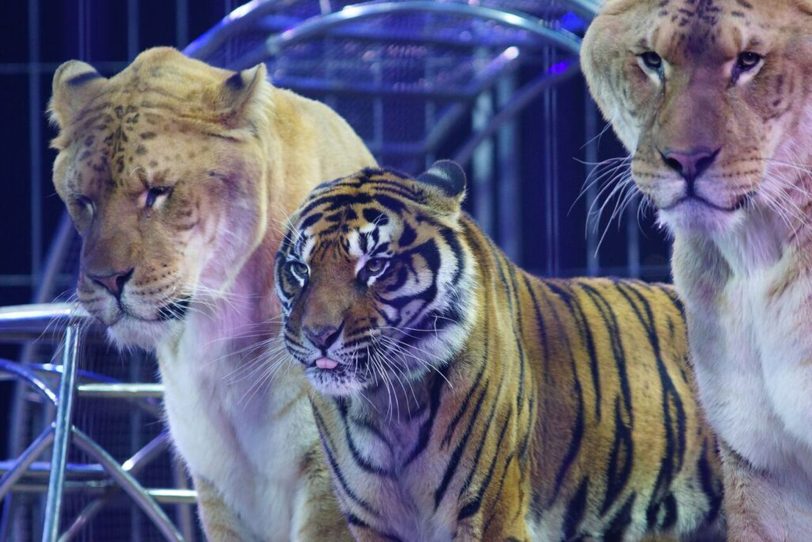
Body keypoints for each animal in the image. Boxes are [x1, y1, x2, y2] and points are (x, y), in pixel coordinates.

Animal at [274, 162, 724, 542]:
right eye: (300, 269)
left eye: (374, 266)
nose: (318, 335)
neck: (386, 404)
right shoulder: (373, 523)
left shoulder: (488, 513)